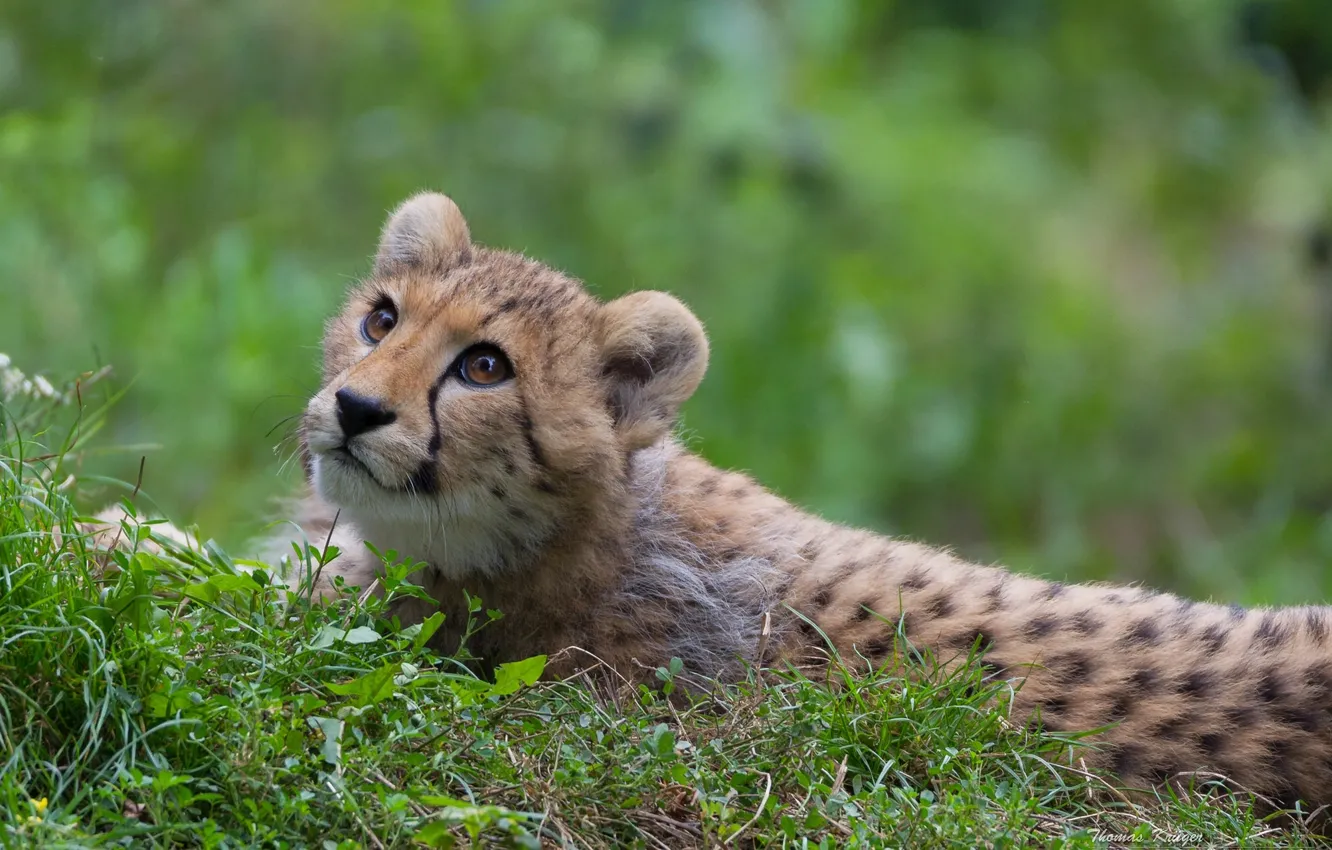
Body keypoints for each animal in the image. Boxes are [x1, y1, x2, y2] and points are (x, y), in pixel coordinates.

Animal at [103, 192, 1332, 813]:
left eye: (485, 368)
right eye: (383, 318)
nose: (356, 408)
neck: (595, 528)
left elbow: (203, 591)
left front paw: (113, 533)